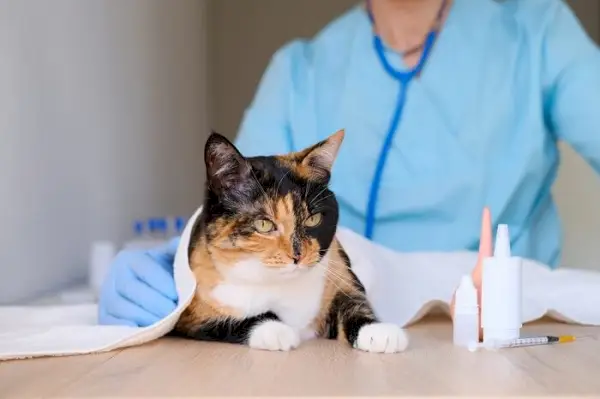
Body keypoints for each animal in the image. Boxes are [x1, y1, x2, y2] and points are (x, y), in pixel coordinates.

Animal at [173, 129, 408, 354]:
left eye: (313, 219)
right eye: (264, 224)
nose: (298, 255)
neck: (278, 283)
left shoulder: (340, 270)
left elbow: (352, 301)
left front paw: (378, 331)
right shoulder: (193, 311)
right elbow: (230, 320)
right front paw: (275, 330)